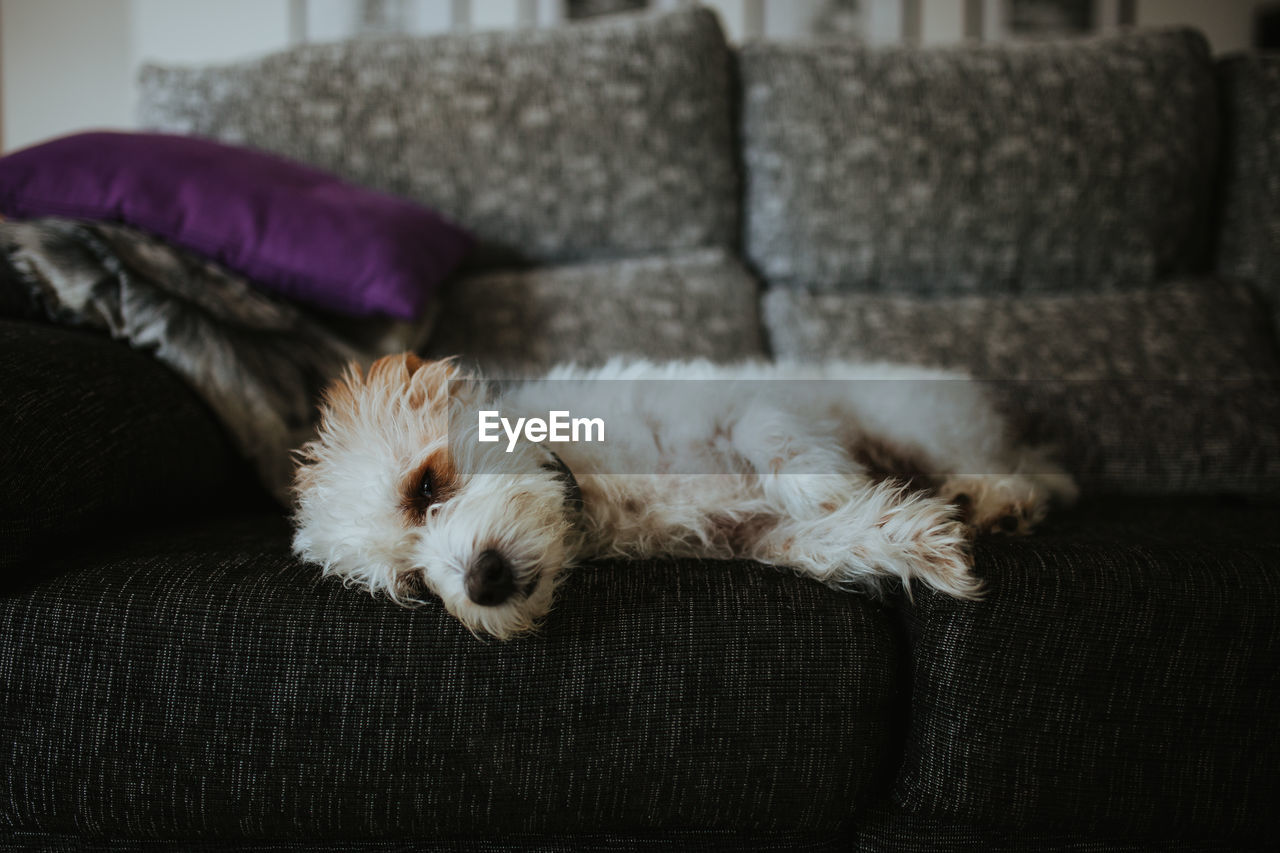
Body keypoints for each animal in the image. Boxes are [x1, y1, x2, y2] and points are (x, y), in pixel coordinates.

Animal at [293, 350, 1080, 637]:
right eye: (414, 585)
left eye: (424, 486)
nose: (482, 582)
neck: (591, 485)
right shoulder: (756, 539)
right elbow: (830, 539)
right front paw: (922, 544)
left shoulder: (733, 401)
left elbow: (773, 436)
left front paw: (825, 483)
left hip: (919, 420)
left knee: (1003, 466)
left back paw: (997, 498)